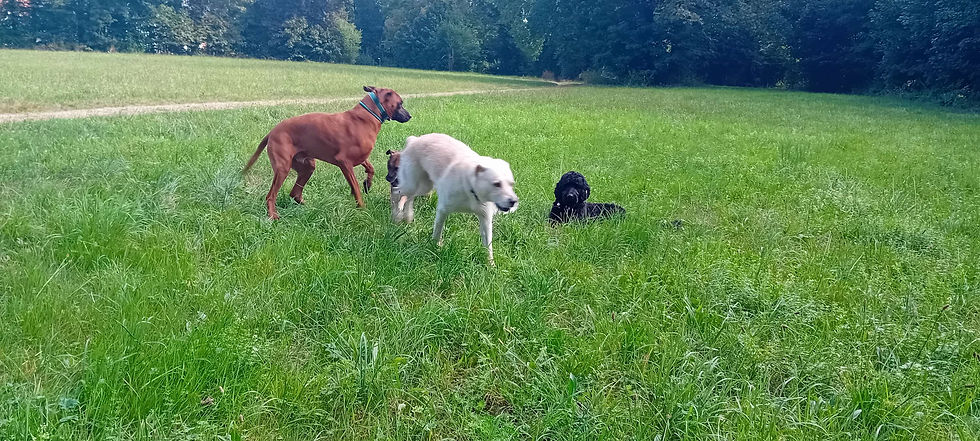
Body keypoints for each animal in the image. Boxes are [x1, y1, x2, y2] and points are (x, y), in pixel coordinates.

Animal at [242, 86, 411, 219]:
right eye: (400, 103)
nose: (410, 116)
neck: (367, 115)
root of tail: (272, 132)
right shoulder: (344, 162)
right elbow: (356, 188)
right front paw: (362, 208)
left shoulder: (359, 158)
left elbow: (370, 168)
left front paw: (368, 184)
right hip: (283, 168)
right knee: (271, 196)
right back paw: (273, 215)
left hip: (307, 166)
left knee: (295, 193)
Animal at [393, 133, 518, 265]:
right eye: (497, 184)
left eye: (511, 184)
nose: (513, 201)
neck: (470, 187)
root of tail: (414, 139)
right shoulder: (443, 210)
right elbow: (437, 231)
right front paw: (435, 247)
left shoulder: (485, 218)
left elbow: (488, 245)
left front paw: (490, 265)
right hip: (412, 184)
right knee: (397, 192)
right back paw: (397, 216)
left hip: (424, 186)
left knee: (409, 198)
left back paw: (408, 216)